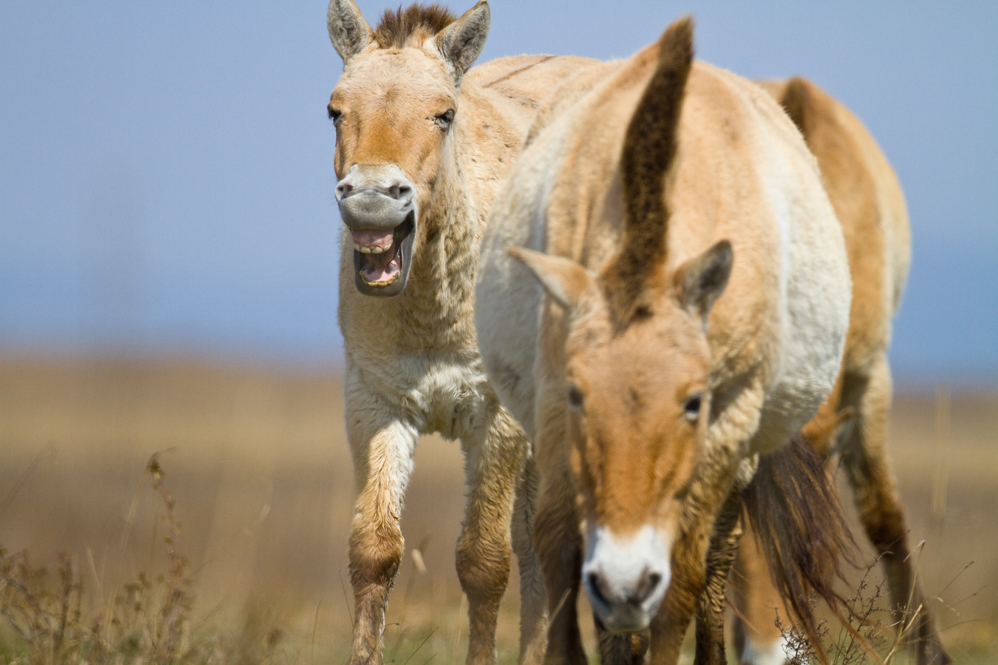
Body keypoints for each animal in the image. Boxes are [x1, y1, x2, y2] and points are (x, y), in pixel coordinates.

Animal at [480, 18, 856, 664]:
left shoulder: (725, 425)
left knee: (716, 560)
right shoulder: (553, 412)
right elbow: (558, 547)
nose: (625, 582)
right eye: (579, 396)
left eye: (693, 402)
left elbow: (684, 576)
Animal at [732, 76, 956, 664]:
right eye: (734, 547)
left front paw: (926, 647)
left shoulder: (870, 379)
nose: (767, 656)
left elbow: (884, 517)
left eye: (815, 543)